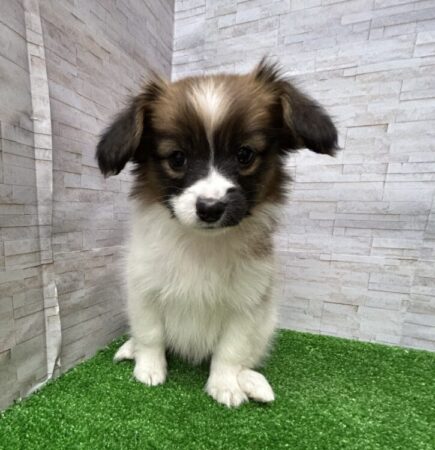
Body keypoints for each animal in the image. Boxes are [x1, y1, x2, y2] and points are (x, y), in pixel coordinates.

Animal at [95, 59, 337, 407]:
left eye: (244, 154)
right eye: (177, 158)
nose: (210, 207)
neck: (202, 244)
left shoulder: (247, 302)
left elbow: (231, 349)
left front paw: (225, 385)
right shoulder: (143, 288)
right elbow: (151, 334)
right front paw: (148, 369)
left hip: (266, 324)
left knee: (248, 357)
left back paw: (252, 382)